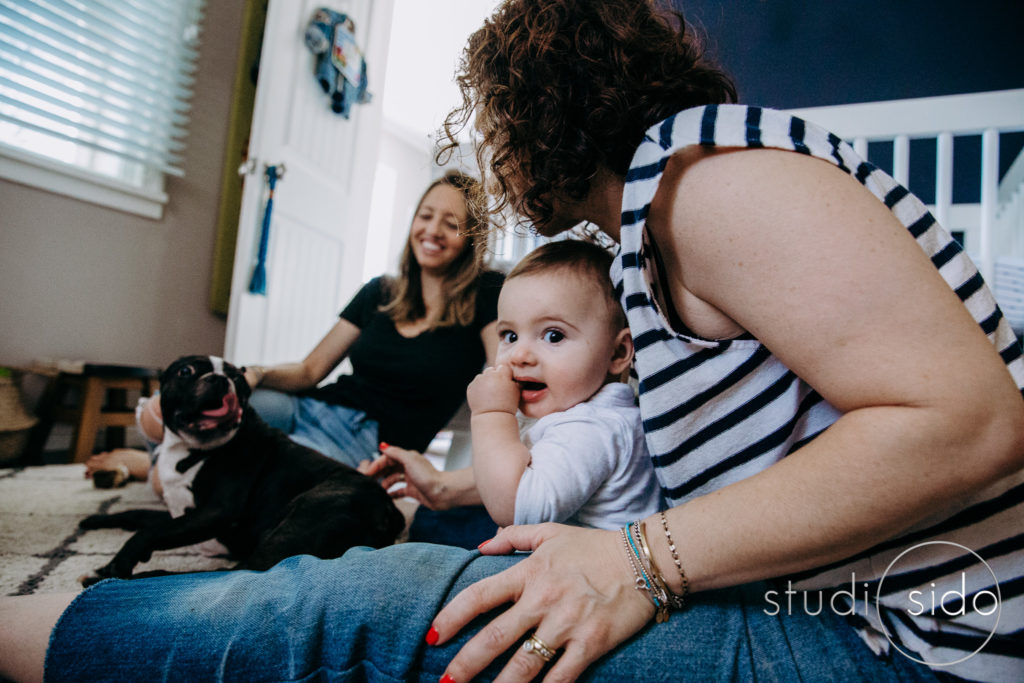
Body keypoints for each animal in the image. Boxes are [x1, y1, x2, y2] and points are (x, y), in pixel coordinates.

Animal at [78, 356, 403, 585]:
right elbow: (139, 516)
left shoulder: (217, 511)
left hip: (301, 518)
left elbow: (150, 531)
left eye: (238, 379)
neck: (193, 449)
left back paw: (124, 579)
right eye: (186, 371)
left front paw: (121, 561)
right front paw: (96, 519)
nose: (221, 380)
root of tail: (389, 511)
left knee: (234, 572)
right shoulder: (182, 512)